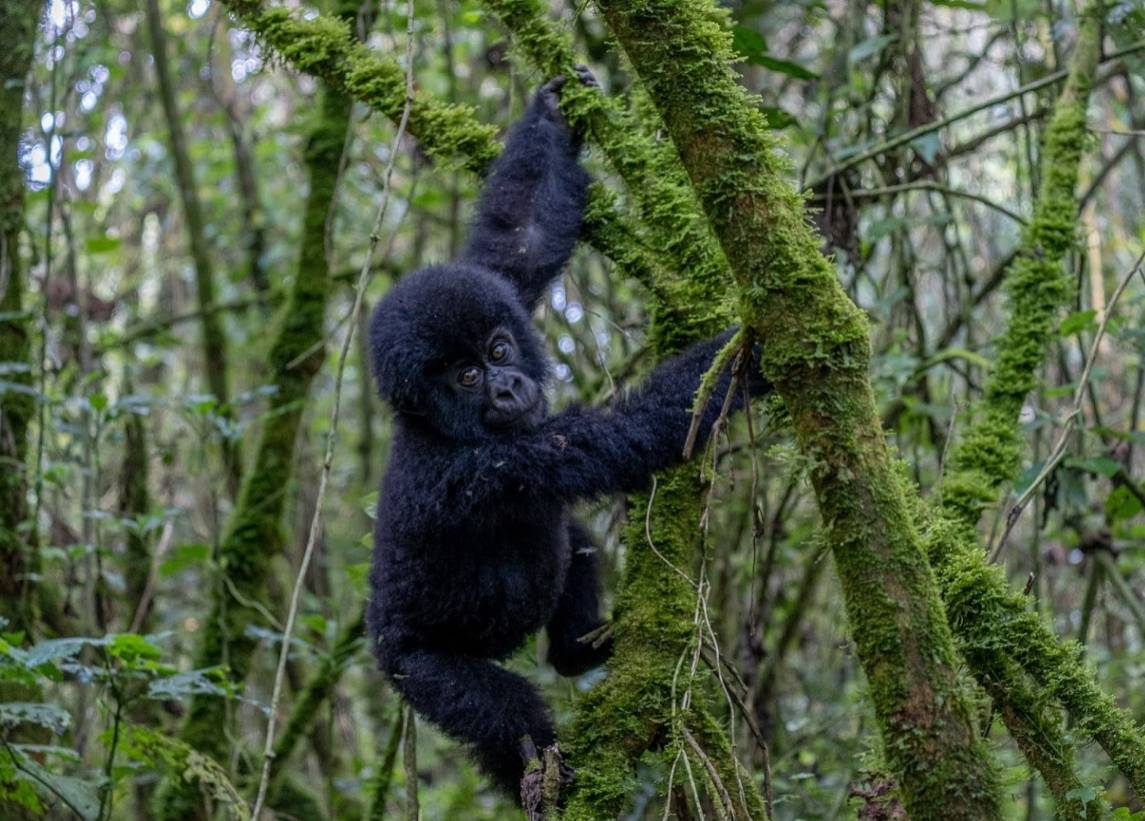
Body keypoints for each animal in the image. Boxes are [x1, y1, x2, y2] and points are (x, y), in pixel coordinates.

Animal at [366, 72, 769, 801]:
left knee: (570, 539)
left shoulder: (496, 289)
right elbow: (625, 434)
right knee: (501, 712)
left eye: (498, 349)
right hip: (416, 666)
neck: (432, 424)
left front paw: (553, 112)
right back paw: (544, 786)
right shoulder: (491, 468)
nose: (506, 388)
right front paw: (755, 355)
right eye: (466, 376)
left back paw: (578, 650)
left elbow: (518, 240)